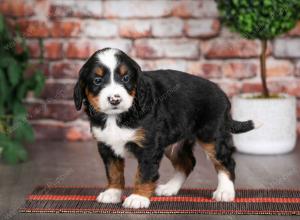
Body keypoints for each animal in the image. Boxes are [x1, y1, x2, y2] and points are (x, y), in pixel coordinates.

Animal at [74, 47, 256, 209]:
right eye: (97, 81)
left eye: (125, 78)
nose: (114, 99)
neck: (118, 117)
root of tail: (222, 93)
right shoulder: (106, 146)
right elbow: (113, 171)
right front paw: (113, 193)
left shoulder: (149, 146)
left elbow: (144, 172)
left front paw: (138, 198)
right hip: (173, 143)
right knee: (187, 163)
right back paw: (170, 188)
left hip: (212, 136)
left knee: (226, 162)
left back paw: (225, 192)